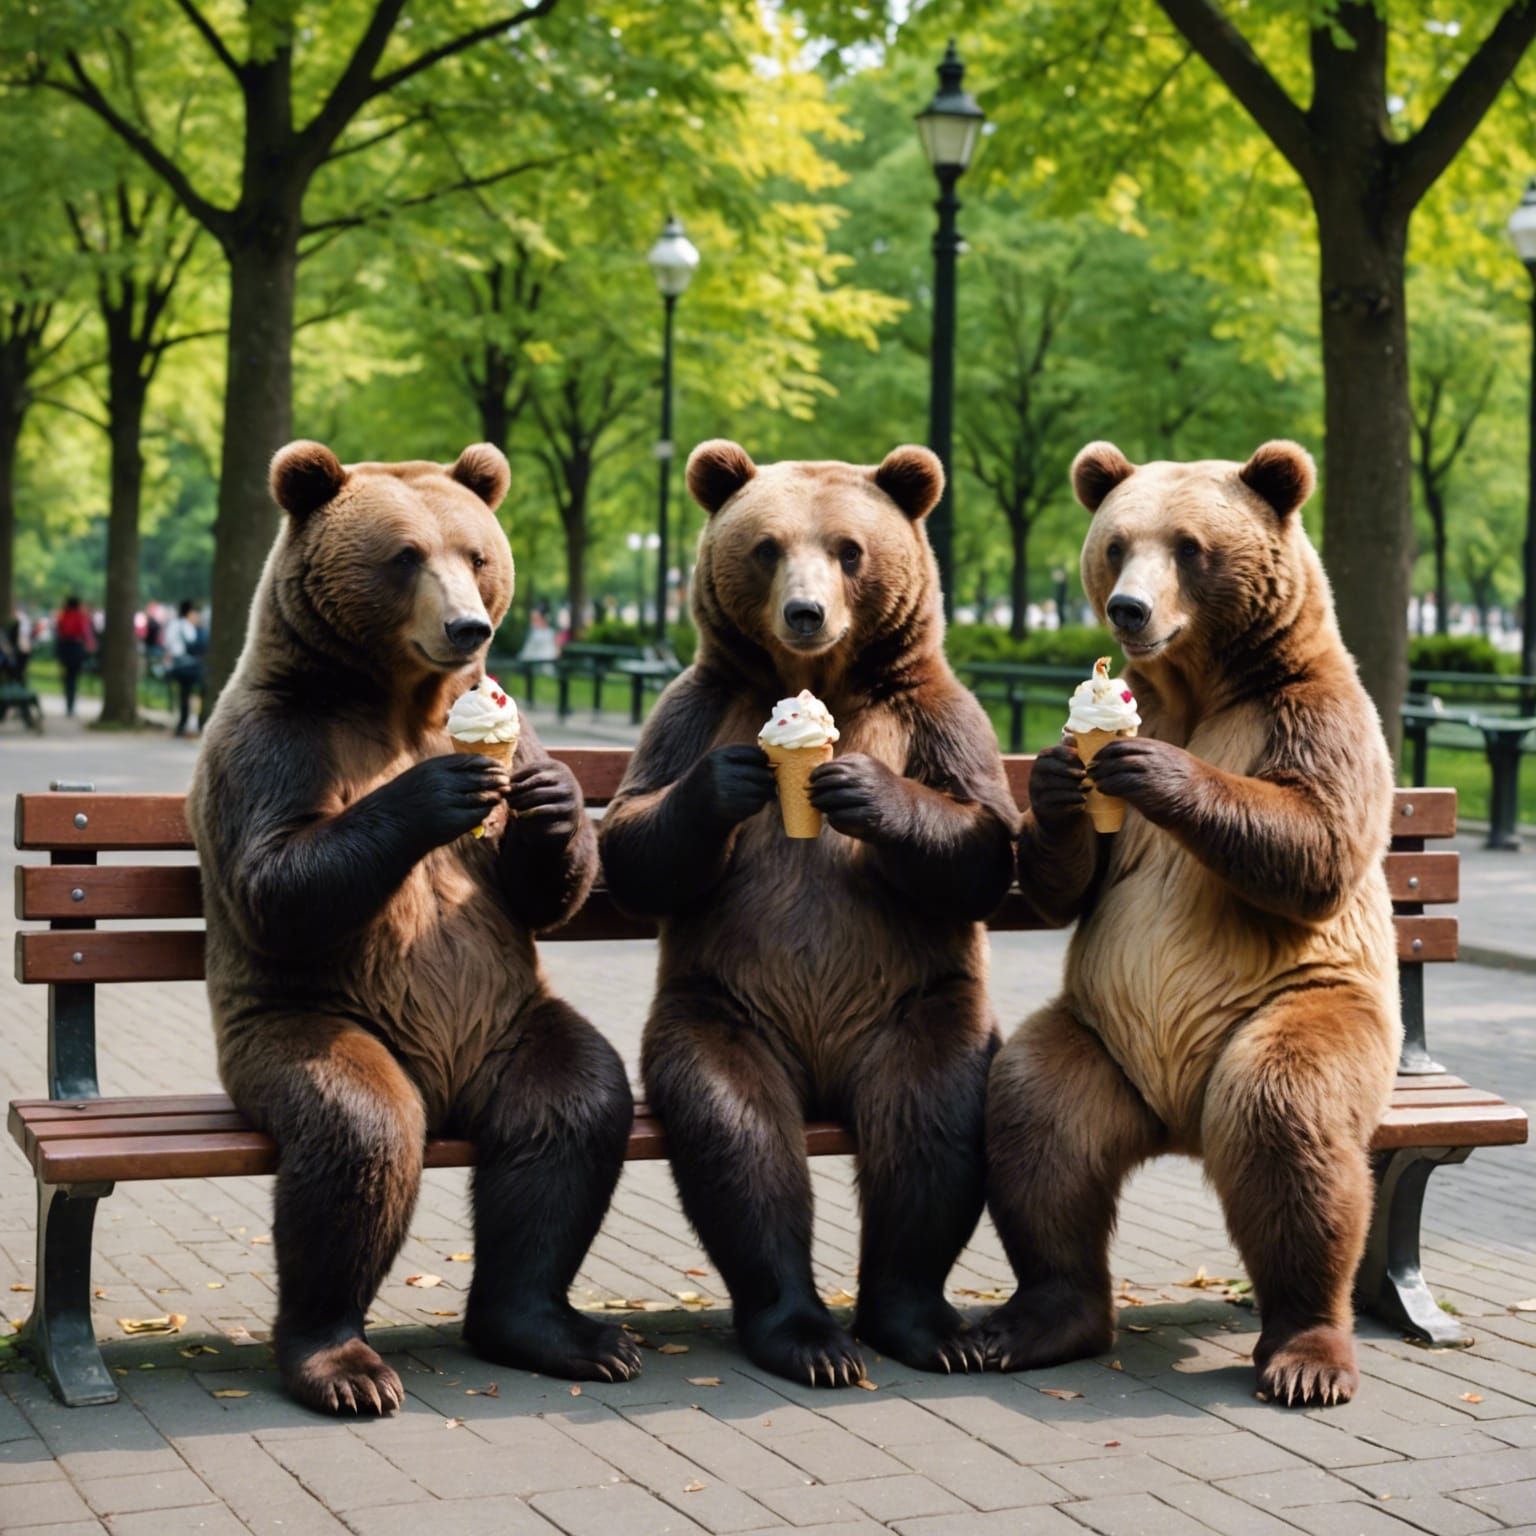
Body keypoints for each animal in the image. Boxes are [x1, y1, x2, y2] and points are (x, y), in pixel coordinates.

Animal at [186, 440, 639, 1414]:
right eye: (404, 556)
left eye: (475, 553)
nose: (468, 628)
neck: (399, 702)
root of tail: (451, 1089)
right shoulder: (276, 739)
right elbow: (278, 877)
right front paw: (436, 792)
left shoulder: (515, 723)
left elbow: (536, 890)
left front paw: (552, 804)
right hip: (311, 1025)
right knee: (359, 1144)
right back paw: (341, 1361)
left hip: (514, 1017)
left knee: (570, 1120)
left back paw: (560, 1328)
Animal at [598, 440, 1018, 1386]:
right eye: (766, 547)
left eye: (849, 549)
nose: (805, 612)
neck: (817, 682)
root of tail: (826, 1079)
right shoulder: (697, 709)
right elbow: (636, 834)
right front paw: (727, 783)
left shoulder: (931, 716)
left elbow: (982, 840)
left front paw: (862, 789)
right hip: (723, 1005)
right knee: (738, 1134)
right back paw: (806, 1333)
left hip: (920, 999)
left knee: (932, 1121)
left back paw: (927, 1324)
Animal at [982, 440, 1401, 1408]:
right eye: (1115, 544)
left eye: (1188, 546)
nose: (1129, 609)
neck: (1203, 685)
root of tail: (1178, 1120)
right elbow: (1071, 885)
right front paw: (1056, 780)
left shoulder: (1308, 716)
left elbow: (1314, 842)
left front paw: (1150, 769)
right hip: (1097, 1036)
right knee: (1037, 1128)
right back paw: (1034, 1321)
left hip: (1301, 1009)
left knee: (1290, 1130)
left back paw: (1306, 1353)